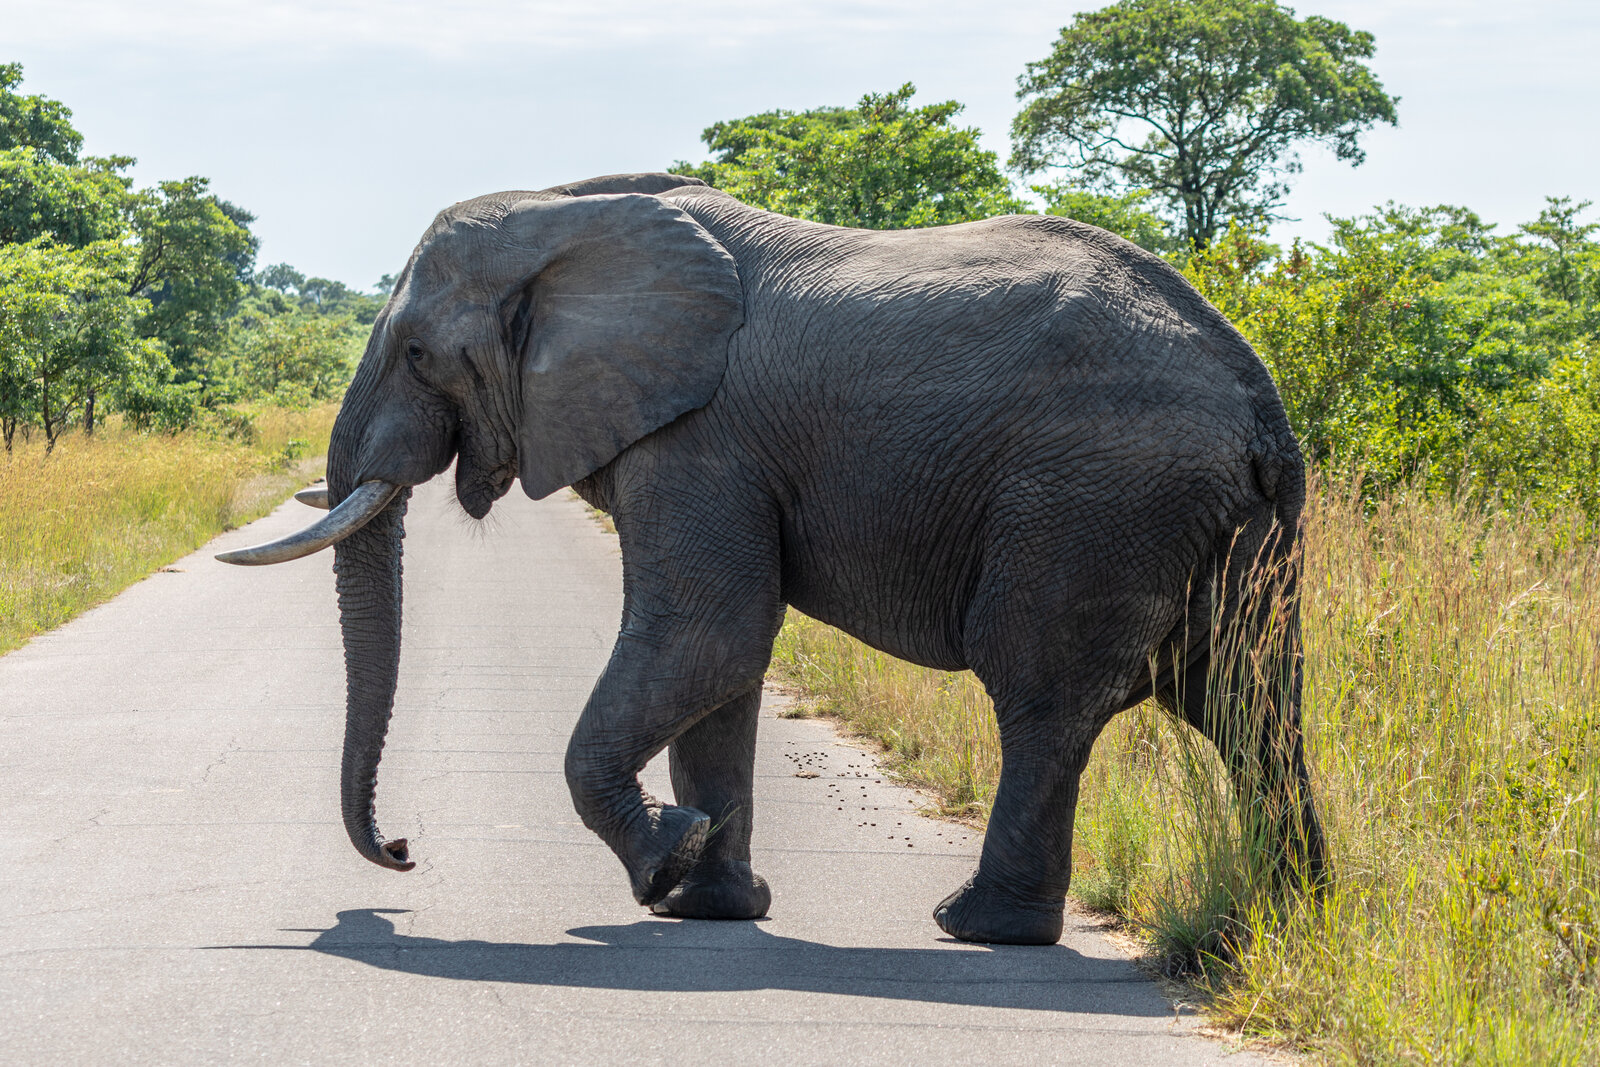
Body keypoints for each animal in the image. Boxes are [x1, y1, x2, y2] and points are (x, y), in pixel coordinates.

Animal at [221, 171, 1328, 945]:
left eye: (416, 353)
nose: (404, 850)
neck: (569, 212)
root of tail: (1258, 403)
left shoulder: (698, 438)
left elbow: (710, 632)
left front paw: (665, 862)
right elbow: (724, 665)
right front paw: (709, 901)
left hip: (1090, 502)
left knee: (1045, 697)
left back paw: (977, 927)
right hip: (1232, 532)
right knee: (1248, 705)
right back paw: (1289, 919)